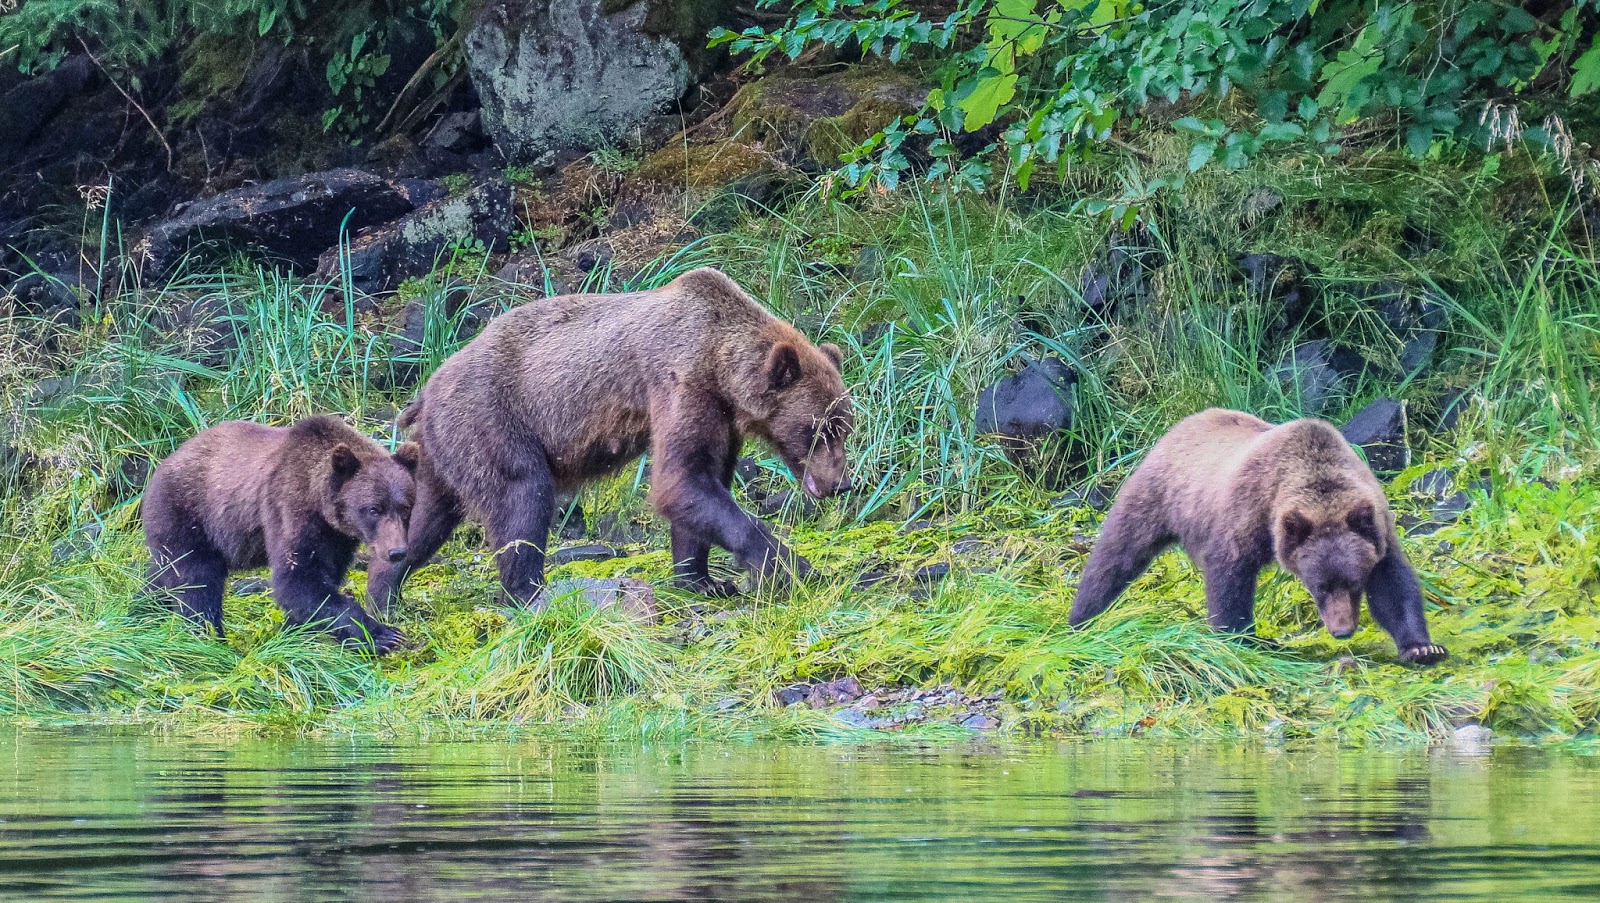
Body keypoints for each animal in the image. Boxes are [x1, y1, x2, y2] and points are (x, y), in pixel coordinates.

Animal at [142, 415, 417, 653]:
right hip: (187, 514)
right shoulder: (289, 508)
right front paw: (383, 635)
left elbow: (321, 581)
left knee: (162, 574)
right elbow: (297, 579)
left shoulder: (336, 540)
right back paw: (208, 636)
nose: (396, 551)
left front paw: (293, 633)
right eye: (373, 509)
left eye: (405, 507)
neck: (320, 504)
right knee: (197, 580)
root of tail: (164, 463)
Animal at [368, 267, 854, 613]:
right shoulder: (679, 382)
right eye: (818, 429)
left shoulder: (720, 417)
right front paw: (792, 567)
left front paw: (703, 579)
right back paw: (529, 593)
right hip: (491, 421)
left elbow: (699, 483)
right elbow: (682, 481)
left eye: (845, 425)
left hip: (446, 452)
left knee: (426, 519)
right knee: (522, 495)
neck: (720, 360)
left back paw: (383, 595)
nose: (842, 482)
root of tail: (426, 392)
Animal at [1068, 408, 1448, 665]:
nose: (1342, 630)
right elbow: (1230, 574)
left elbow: (1393, 584)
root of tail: (1180, 424)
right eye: (1319, 586)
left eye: (1353, 582)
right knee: (1116, 556)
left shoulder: (1375, 527)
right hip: (1155, 495)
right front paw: (1241, 638)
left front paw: (1423, 647)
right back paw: (1081, 619)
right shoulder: (1249, 512)